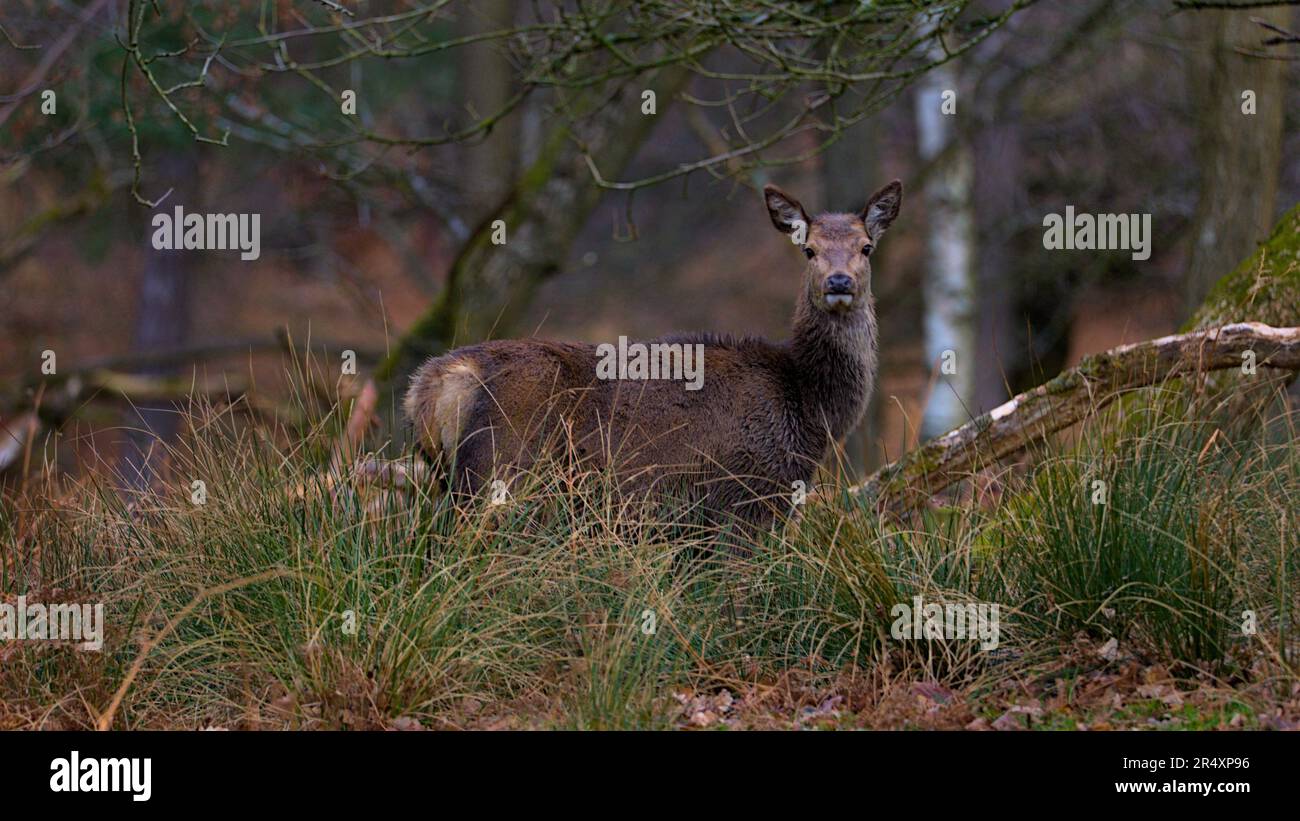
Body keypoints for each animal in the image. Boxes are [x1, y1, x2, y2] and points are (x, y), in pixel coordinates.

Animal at [404, 180, 902, 526]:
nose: (839, 282)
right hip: (500, 472)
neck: (806, 404)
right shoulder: (745, 496)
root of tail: (432, 385)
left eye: (866, 247)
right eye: (809, 250)